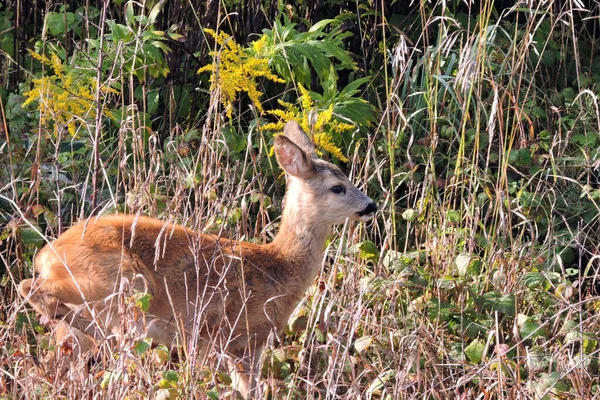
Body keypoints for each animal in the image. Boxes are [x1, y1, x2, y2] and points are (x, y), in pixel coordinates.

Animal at [18, 120, 378, 398]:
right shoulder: (235, 335)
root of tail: (47, 254)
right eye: (337, 187)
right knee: (31, 288)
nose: (371, 206)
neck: (277, 267)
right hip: (124, 282)